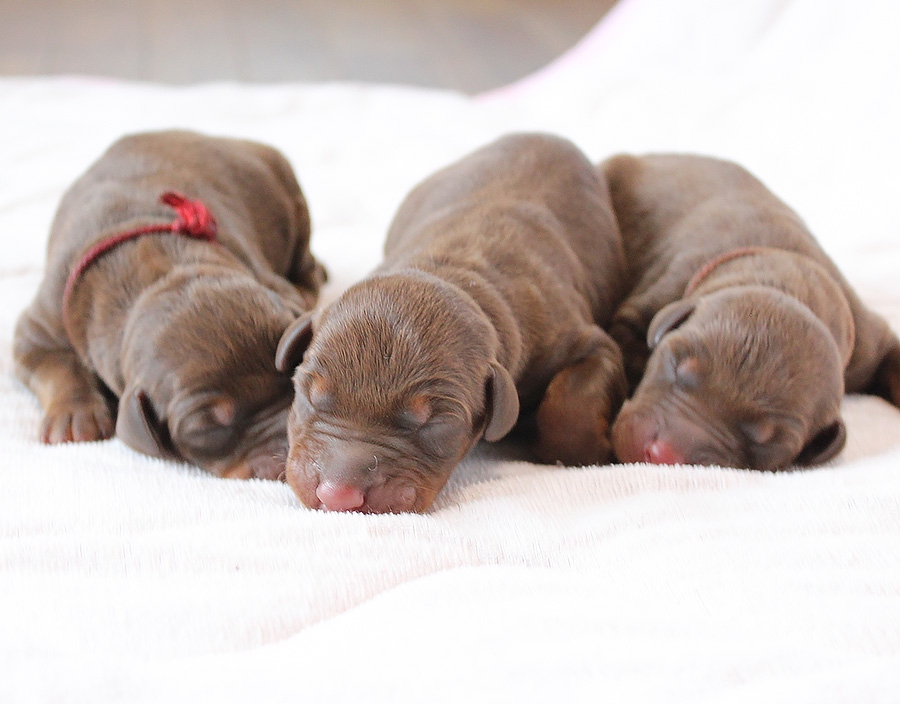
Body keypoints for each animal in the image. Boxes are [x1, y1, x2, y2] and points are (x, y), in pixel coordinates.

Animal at [14, 129, 326, 478]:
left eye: (294, 381)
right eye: (205, 428)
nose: (287, 453)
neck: (156, 271)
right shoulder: (40, 325)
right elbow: (56, 364)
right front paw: (74, 415)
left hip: (294, 206)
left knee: (307, 265)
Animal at [278, 132, 628, 512]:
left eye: (436, 424)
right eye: (308, 395)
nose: (338, 494)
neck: (452, 269)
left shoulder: (582, 340)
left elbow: (570, 403)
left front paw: (595, 450)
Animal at [600, 155, 900, 472]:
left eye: (765, 440)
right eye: (677, 366)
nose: (661, 454)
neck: (787, 282)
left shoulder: (869, 342)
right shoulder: (651, 301)